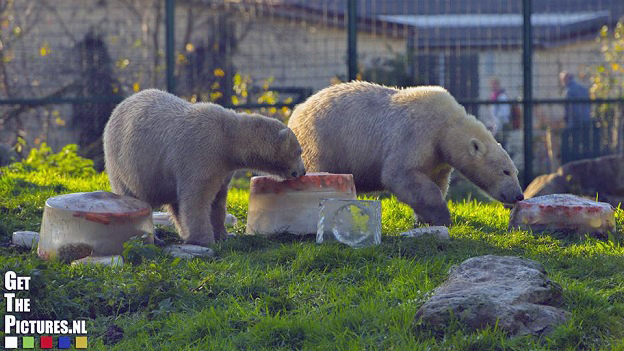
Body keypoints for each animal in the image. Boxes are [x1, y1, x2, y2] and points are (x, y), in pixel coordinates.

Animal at [103, 89, 306, 246]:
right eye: (300, 151)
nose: (302, 172)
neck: (228, 137)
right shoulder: (202, 153)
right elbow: (197, 197)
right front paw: (205, 239)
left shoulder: (223, 167)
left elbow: (218, 200)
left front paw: (224, 235)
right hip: (123, 163)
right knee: (136, 197)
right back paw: (155, 238)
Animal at [290, 81, 524, 227]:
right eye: (505, 171)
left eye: (515, 172)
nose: (518, 195)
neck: (447, 125)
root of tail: (296, 112)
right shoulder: (416, 133)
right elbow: (398, 174)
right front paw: (442, 217)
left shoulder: (439, 159)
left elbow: (437, 181)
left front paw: (424, 219)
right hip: (320, 141)